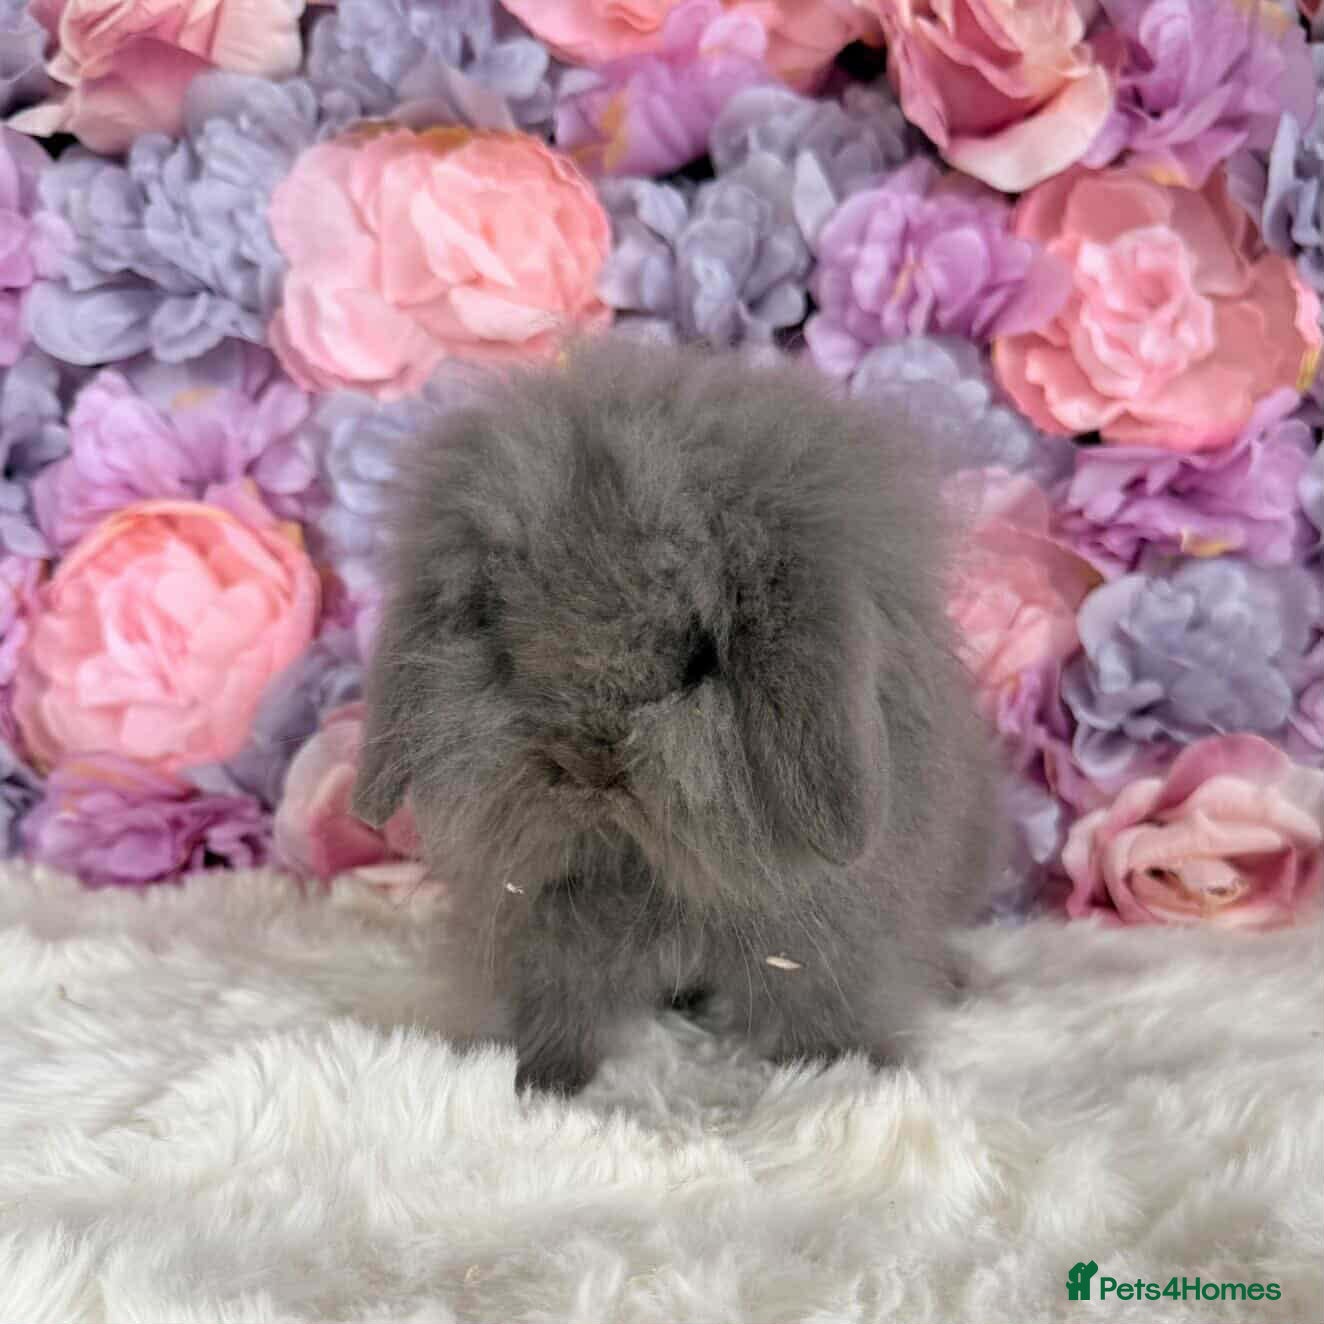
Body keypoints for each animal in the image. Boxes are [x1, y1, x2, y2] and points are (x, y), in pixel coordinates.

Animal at [351, 336, 1003, 1096]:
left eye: (699, 657)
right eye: (507, 649)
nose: (587, 763)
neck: (649, 868)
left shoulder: (828, 940)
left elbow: (825, 1005)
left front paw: (842, 1072)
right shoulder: (545, 930)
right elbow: (556, 1008)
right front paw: (540, 1082)